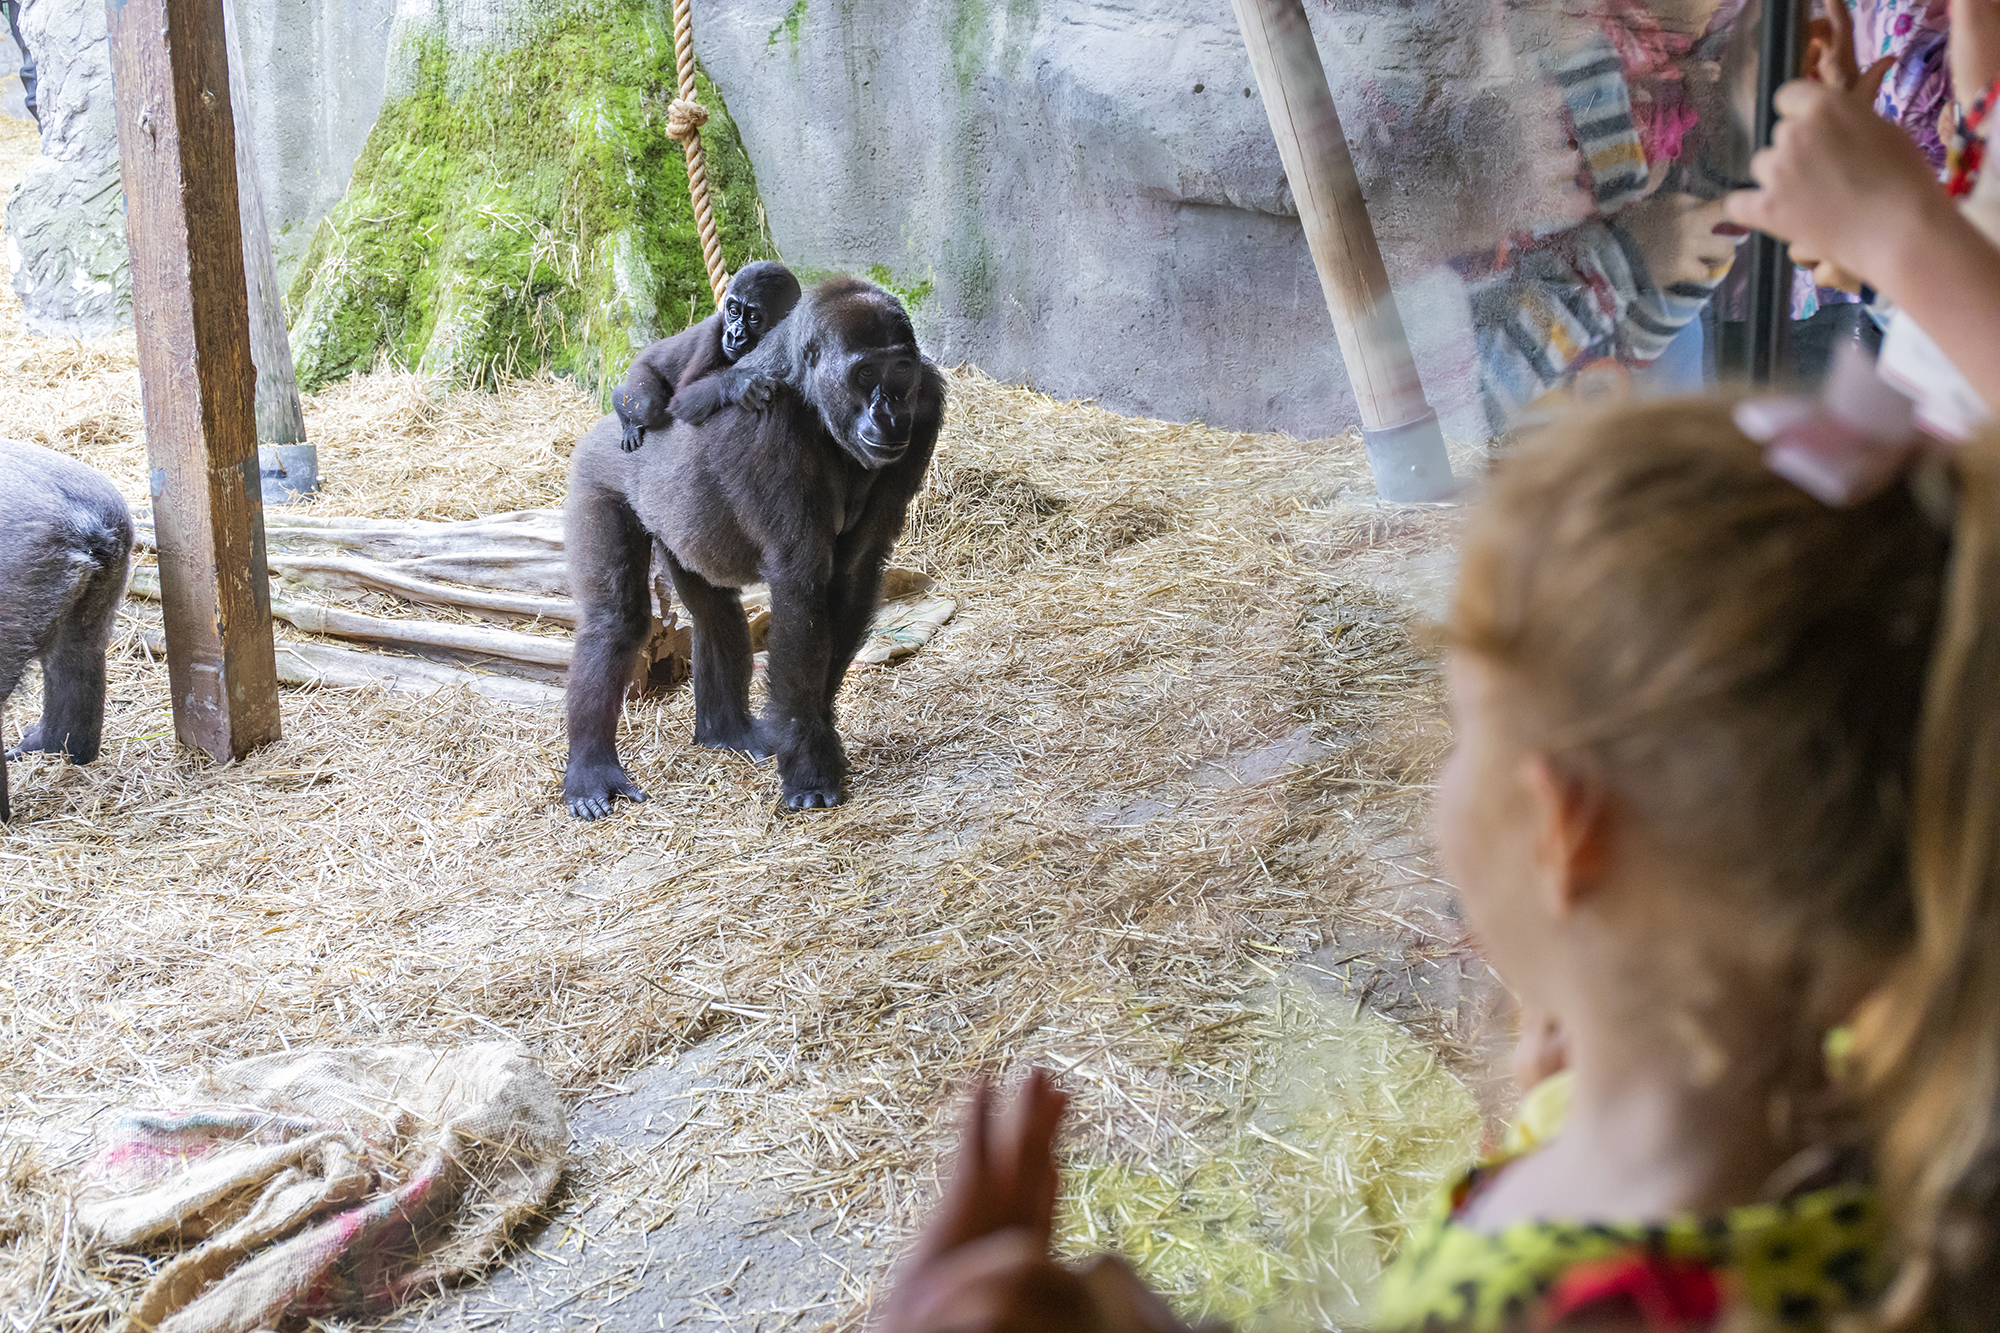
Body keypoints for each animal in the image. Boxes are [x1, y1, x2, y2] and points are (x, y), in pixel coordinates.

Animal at [604, 260, 800, 452]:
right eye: (734, 312)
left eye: (753, 317)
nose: (734, 335)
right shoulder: (711, 334)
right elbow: (680, 399)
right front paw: (738, 382)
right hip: (639, 366)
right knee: (647, 406)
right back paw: (622, 408)